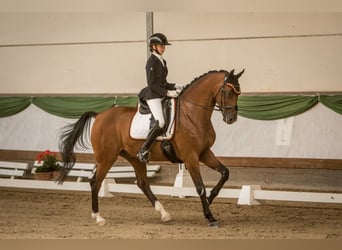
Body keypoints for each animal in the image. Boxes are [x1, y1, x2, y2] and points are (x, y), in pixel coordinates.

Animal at [59, 68, 246, 227]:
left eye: (239, 93)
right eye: (228, 92)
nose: (231, 119)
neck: (191, 114)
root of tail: (99, 115)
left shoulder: (204, 153)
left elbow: (225, 173)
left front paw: (211, 198)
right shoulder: (190, 157)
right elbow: (200, 187)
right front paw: (210, 216)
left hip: (134, 158)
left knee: (142, 183)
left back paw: (164, 213)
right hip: (106, 157)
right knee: (95, 182)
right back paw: (98, 217)